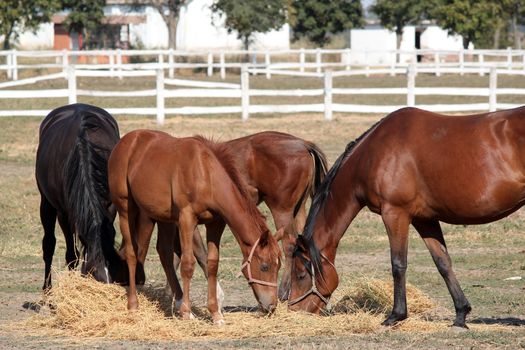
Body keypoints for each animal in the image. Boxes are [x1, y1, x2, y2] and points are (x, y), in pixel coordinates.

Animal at [35, 103, 124, 290]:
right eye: (94, 272)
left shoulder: (109, 207)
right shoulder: (64, 213)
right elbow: (72, 254)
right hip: (46, 204)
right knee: (49, 245)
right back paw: (47, 290)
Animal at [107, 130, 284, 324]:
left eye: (279, 267)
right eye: (265, 266)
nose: (271, 306)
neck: (206, 174)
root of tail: (127, 140)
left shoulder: (215, 224)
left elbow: (212, 263)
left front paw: (215, 314)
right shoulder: (186, 219)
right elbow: (188, 264)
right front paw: (187, 312)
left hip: (165, 218)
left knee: (164, 253)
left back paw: (176, 301)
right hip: (126, 209)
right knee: (132, 253)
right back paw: (133, 304)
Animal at [162, 131, 328, 304]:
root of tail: (304, 144)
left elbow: (196, 253)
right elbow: (176, 254)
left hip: (282, 210)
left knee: (289, 245)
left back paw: (283, 291)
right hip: (299, 209)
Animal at [286, 106, 525, 328]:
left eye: (301, 275)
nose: (295, 311)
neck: (372, 154)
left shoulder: (395, 214)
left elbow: (398, 264)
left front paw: (396, 315)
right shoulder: (424, 219)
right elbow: (443, 262)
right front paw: (460, 315)